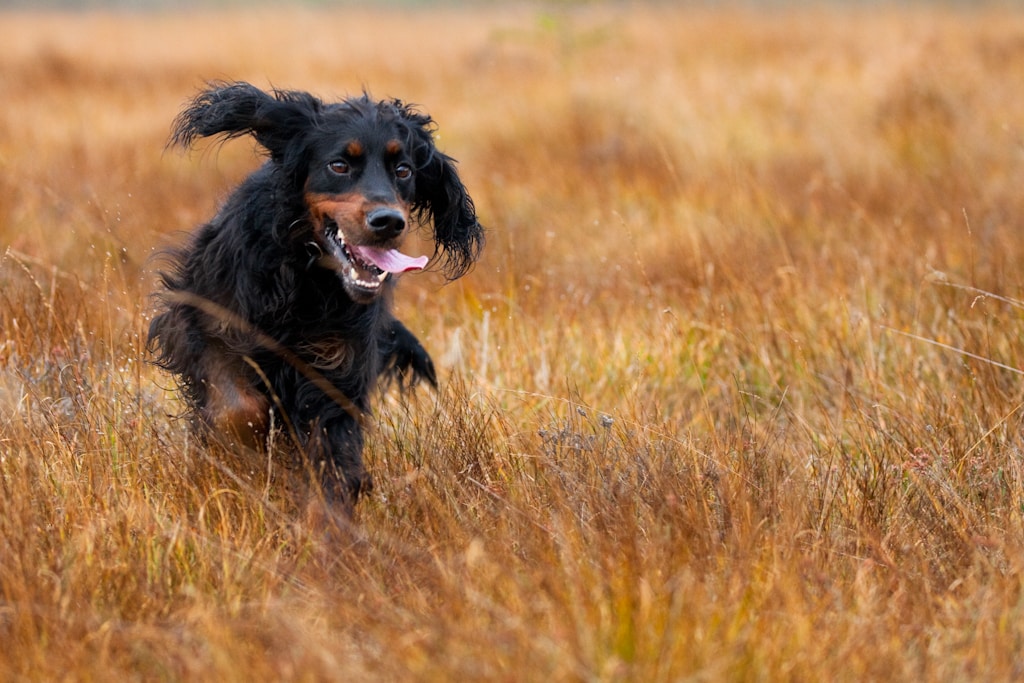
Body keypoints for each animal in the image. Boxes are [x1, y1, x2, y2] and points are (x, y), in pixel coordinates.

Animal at [147, 81, 483, 507]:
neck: (305, 274)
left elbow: (332, 460)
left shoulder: (336, 371)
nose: (389, 222)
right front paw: (247, 452)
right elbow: (240, 408)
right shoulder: (203, 321)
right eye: (339, 165)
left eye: (403, 170)